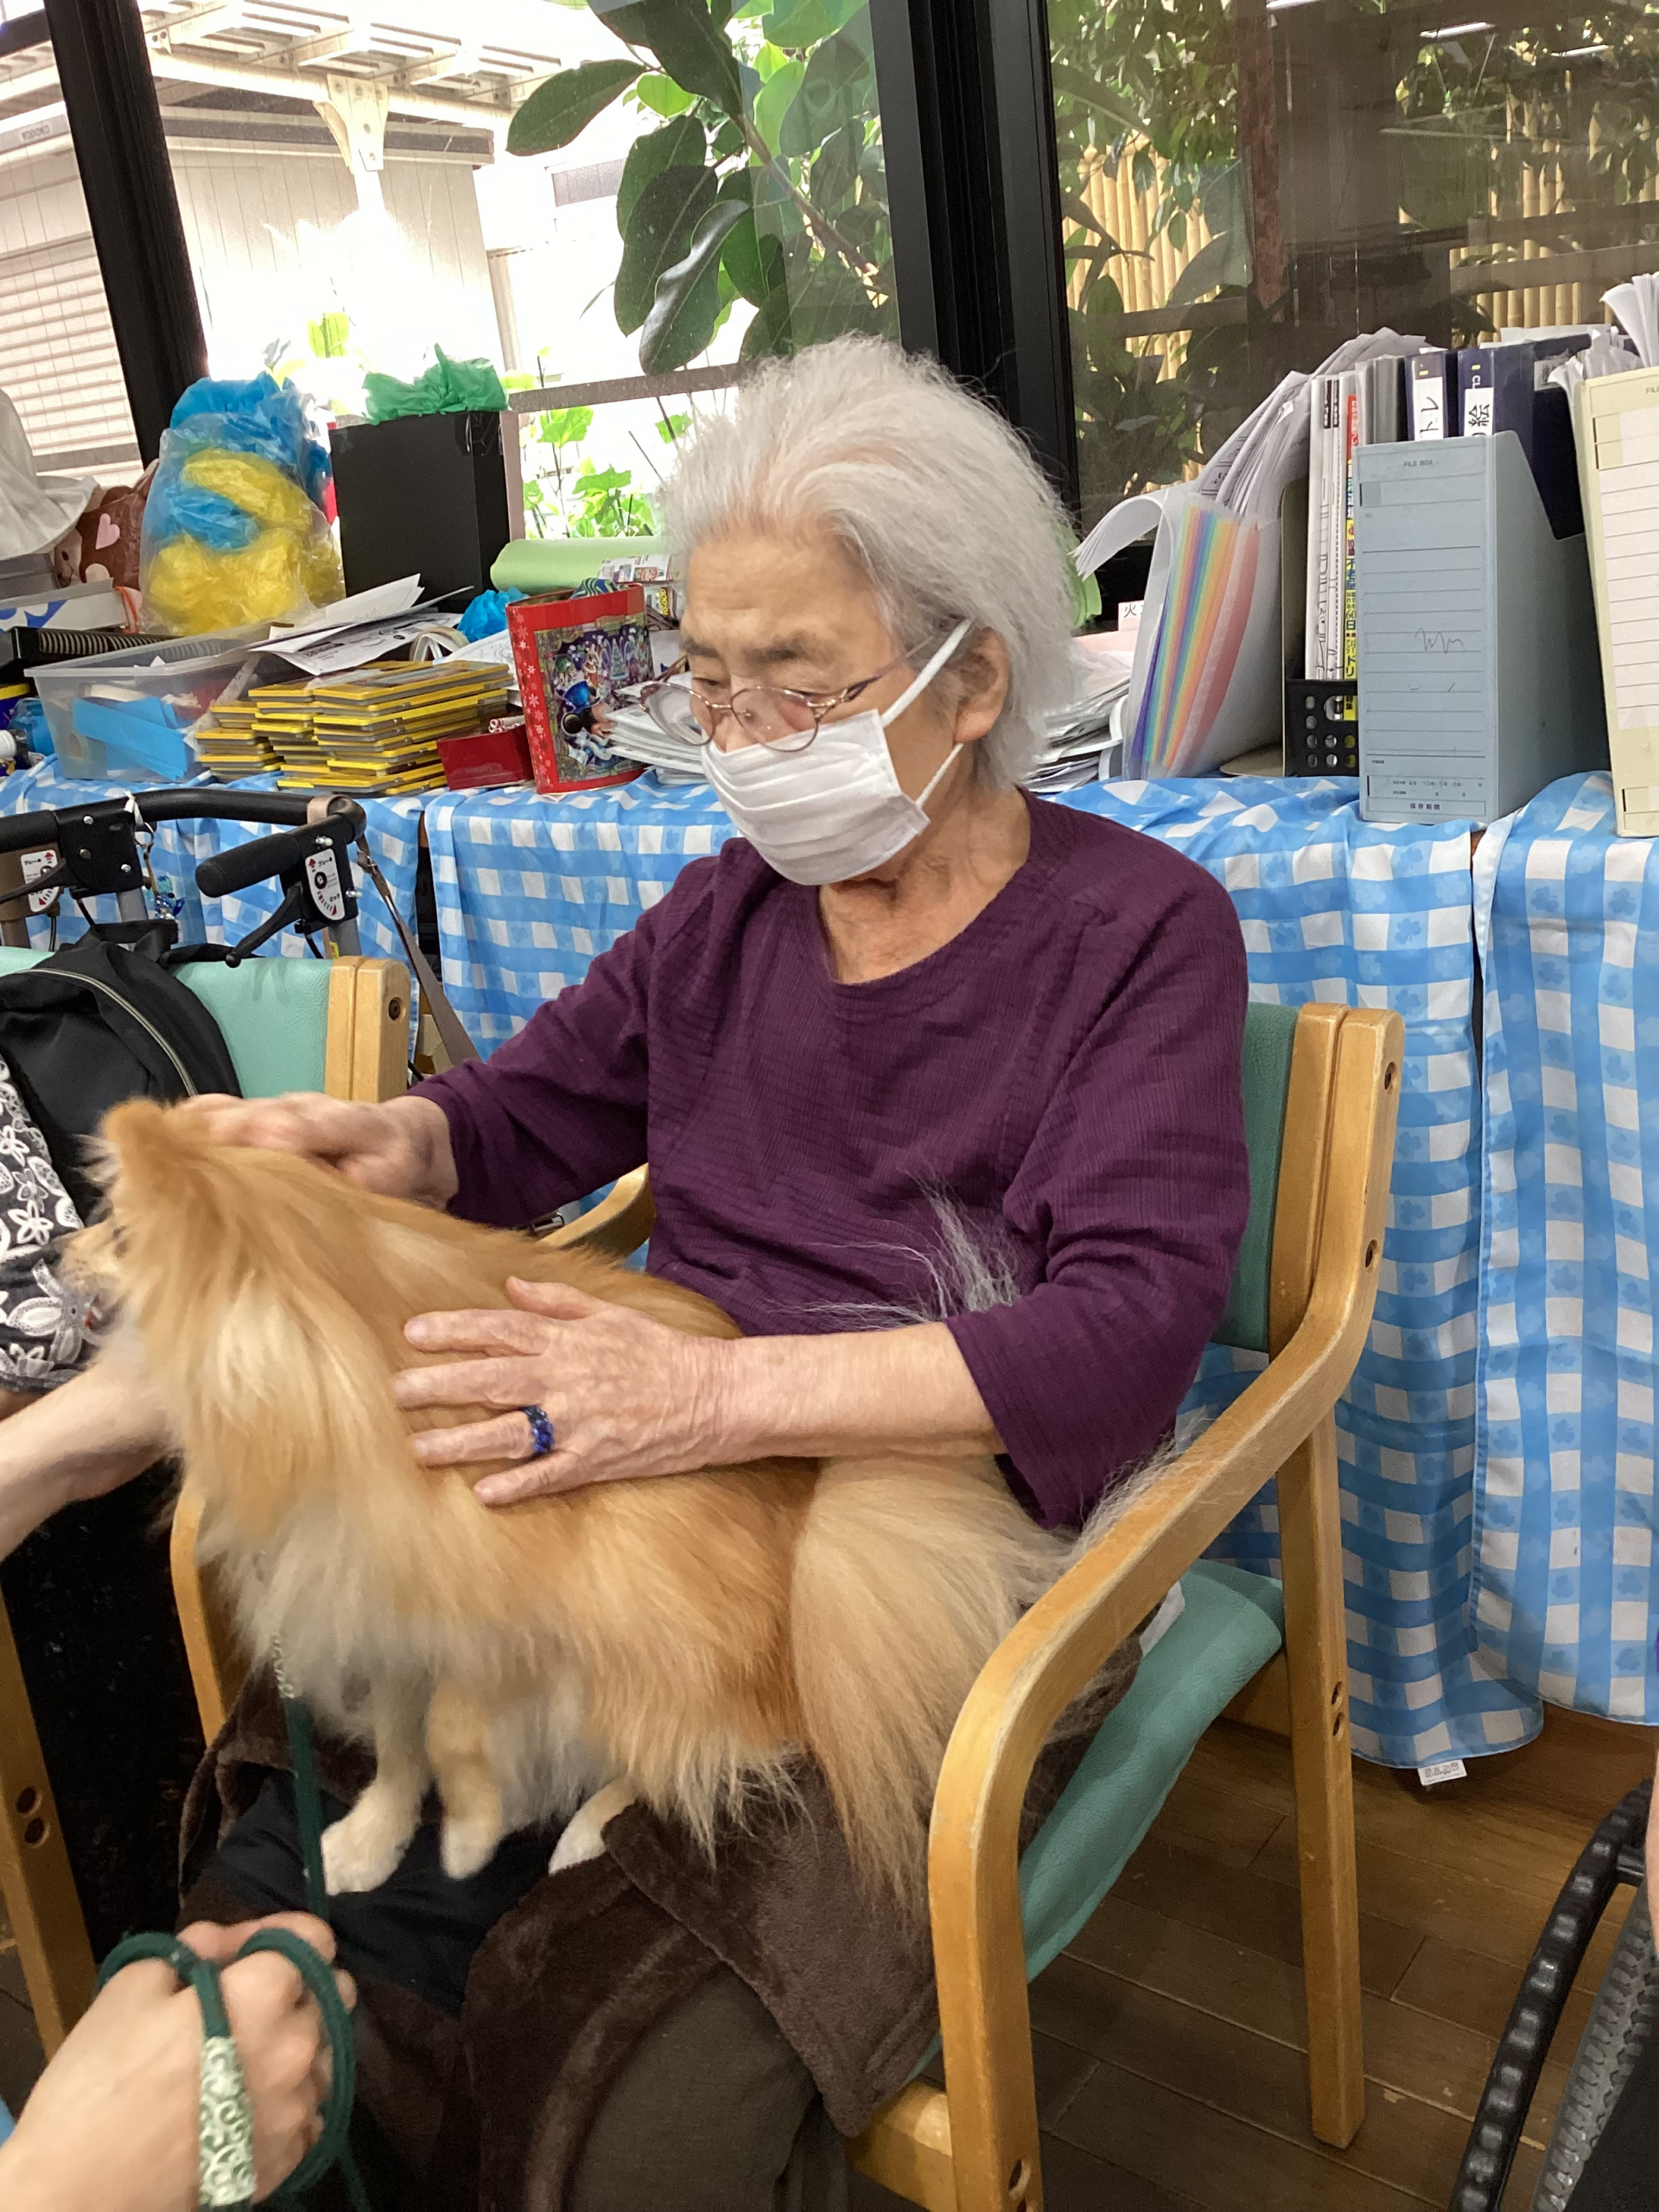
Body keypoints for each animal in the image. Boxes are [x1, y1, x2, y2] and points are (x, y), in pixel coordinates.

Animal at [76, 1099, 1075, 1910]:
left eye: (115, 1231)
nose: (58, 1250)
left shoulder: (526, 1624)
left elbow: (452, 1727)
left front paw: (469, 1832)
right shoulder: (382, 1617)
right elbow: (400, 1744)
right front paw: (370, 1840)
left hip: (659, 1653)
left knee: (722, 1748)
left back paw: (589, 1830)